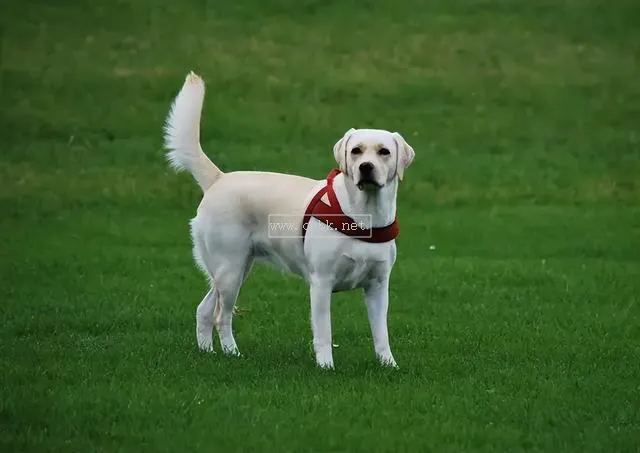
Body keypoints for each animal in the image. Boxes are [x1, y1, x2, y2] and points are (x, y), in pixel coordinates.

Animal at [164, 70, 416, 368]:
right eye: (356, 151)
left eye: (384, 152)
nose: (366, 167)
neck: (364, 215)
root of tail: (219, 178)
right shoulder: (321, 283)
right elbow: (324, 333)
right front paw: (326, 367)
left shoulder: (378, 286)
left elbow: (381, 334)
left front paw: (389, 366)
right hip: (230, 270)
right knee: (220, 316)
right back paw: (232, 353)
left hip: (235, 269)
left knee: (203, 310)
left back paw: (208, 352)